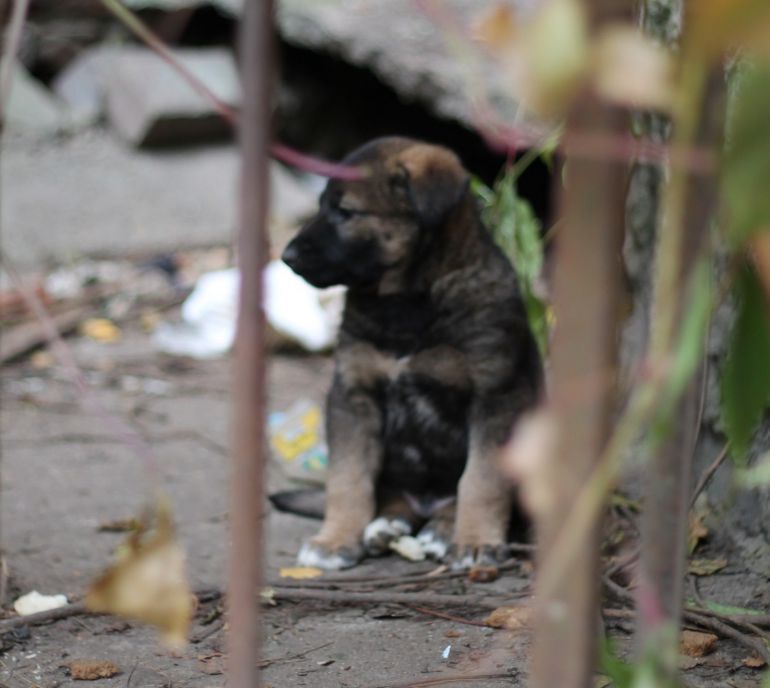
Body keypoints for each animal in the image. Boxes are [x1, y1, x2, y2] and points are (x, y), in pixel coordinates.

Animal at [280, 136, 540, 568]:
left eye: (346, 212)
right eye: (320, 206)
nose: (287, 257)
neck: (405, 304)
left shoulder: (494, 399)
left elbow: (481, 479)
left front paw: (476, 543)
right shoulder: (353, 396)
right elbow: (347, 478)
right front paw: (335, 540)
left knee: (454, 499)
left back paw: (442, 530)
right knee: (391, 498)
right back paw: (386, 526)